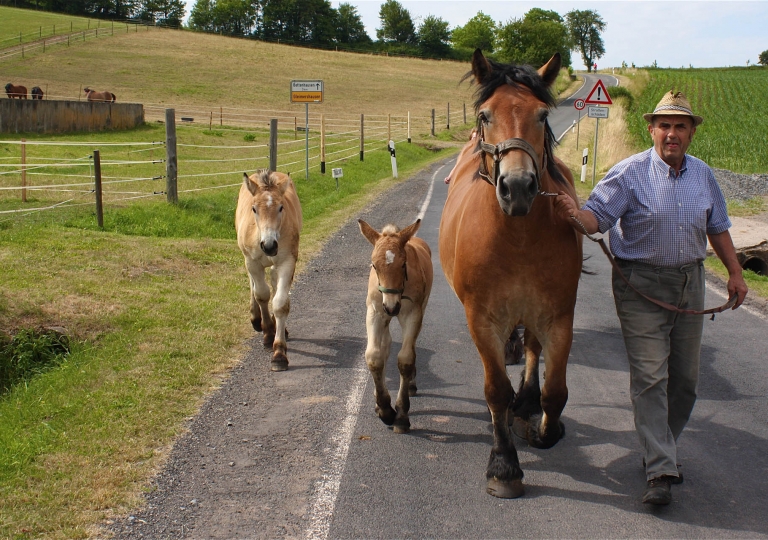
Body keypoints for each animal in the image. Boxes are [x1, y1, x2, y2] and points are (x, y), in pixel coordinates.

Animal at [237, 170, 304, 372]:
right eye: (254, 209)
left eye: (281, 207)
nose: (269, 246)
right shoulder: (252, 262)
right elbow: (261, 295)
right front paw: (267, 334)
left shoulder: (287, 261)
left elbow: (280, 303)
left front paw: (279, 354)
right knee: (254, 285)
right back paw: (256, 319)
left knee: (274, 284)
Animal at [358, 217, 432, 432]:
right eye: (374, 265)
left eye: (403, 264)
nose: (391, 307)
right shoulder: (375, 313)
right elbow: (374, 357)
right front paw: (384, 409)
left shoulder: (412, 314)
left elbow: (406, 359)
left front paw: (400, 414)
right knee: (386, 345)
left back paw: (412, 384)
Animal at [438, 50, 584, 498]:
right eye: (485, 114)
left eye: (541, 114)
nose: (517, 187)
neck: (517, 236)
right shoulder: (482, 320)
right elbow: (495, 391)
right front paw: (503, 465)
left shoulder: (558, 316)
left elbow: (556, 392)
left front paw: (539, 425)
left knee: (534, 351)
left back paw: (527, 402)